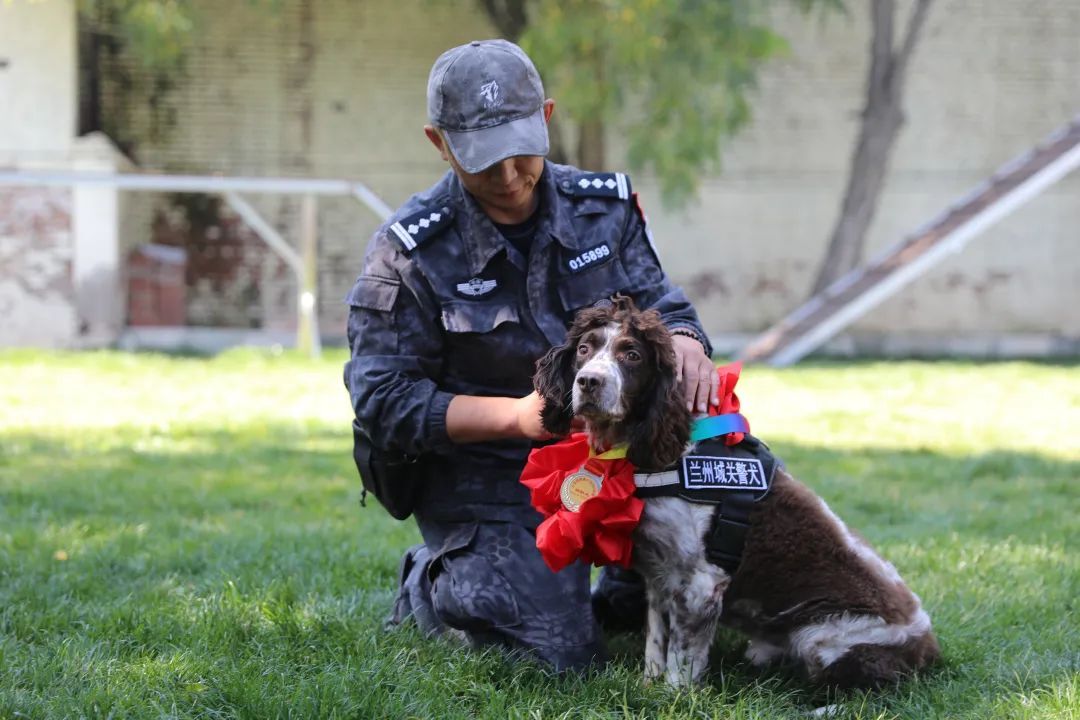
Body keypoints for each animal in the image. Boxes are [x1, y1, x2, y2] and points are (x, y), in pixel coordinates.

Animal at [535, 297, 941, 686]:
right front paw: (647, 686)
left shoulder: (700, 583)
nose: (588, 382)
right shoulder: (659, 577)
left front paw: (672, 696)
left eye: (632, 355)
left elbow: (680, 661)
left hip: (822, 638)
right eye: (584, 349)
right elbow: (655, 643)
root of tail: (929, 647)